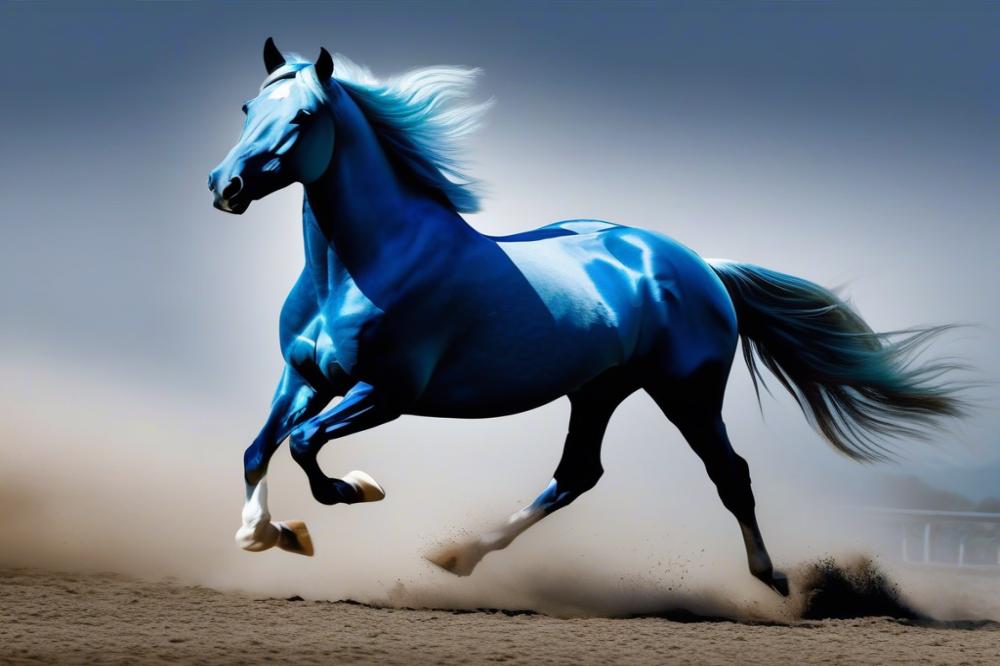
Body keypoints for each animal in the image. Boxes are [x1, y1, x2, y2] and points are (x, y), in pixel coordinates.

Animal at [207, 39, 963, 596]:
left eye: (304, 117)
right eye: (247, 104)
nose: (226, 186)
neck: (366, 264)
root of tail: (698, 264)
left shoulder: (387, 392)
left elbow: (304, 445)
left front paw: (351, 493)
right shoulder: (304, 376)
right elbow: (260, 448)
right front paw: (264, 535)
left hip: (687, 393)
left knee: (731, 475)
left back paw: (773, 581)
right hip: (598, 390)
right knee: (577, 474)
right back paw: (456, 558)